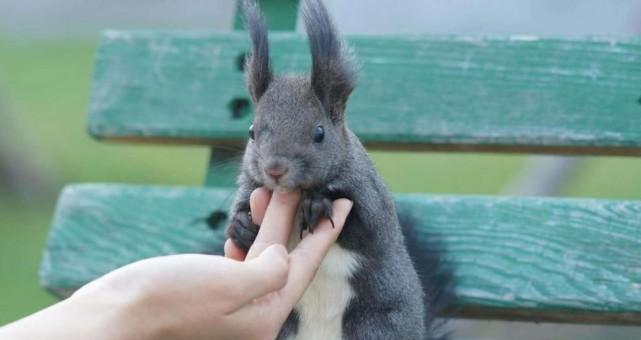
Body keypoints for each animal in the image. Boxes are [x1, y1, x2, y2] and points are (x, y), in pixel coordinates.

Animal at [226, 0, 450, 340]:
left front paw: (319, 204)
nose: (275, 169)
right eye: (252, 131)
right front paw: (241, 226)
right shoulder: (251, 186)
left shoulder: (370, 195)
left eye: (319, 133)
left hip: (377, 326)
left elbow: (364, 227)